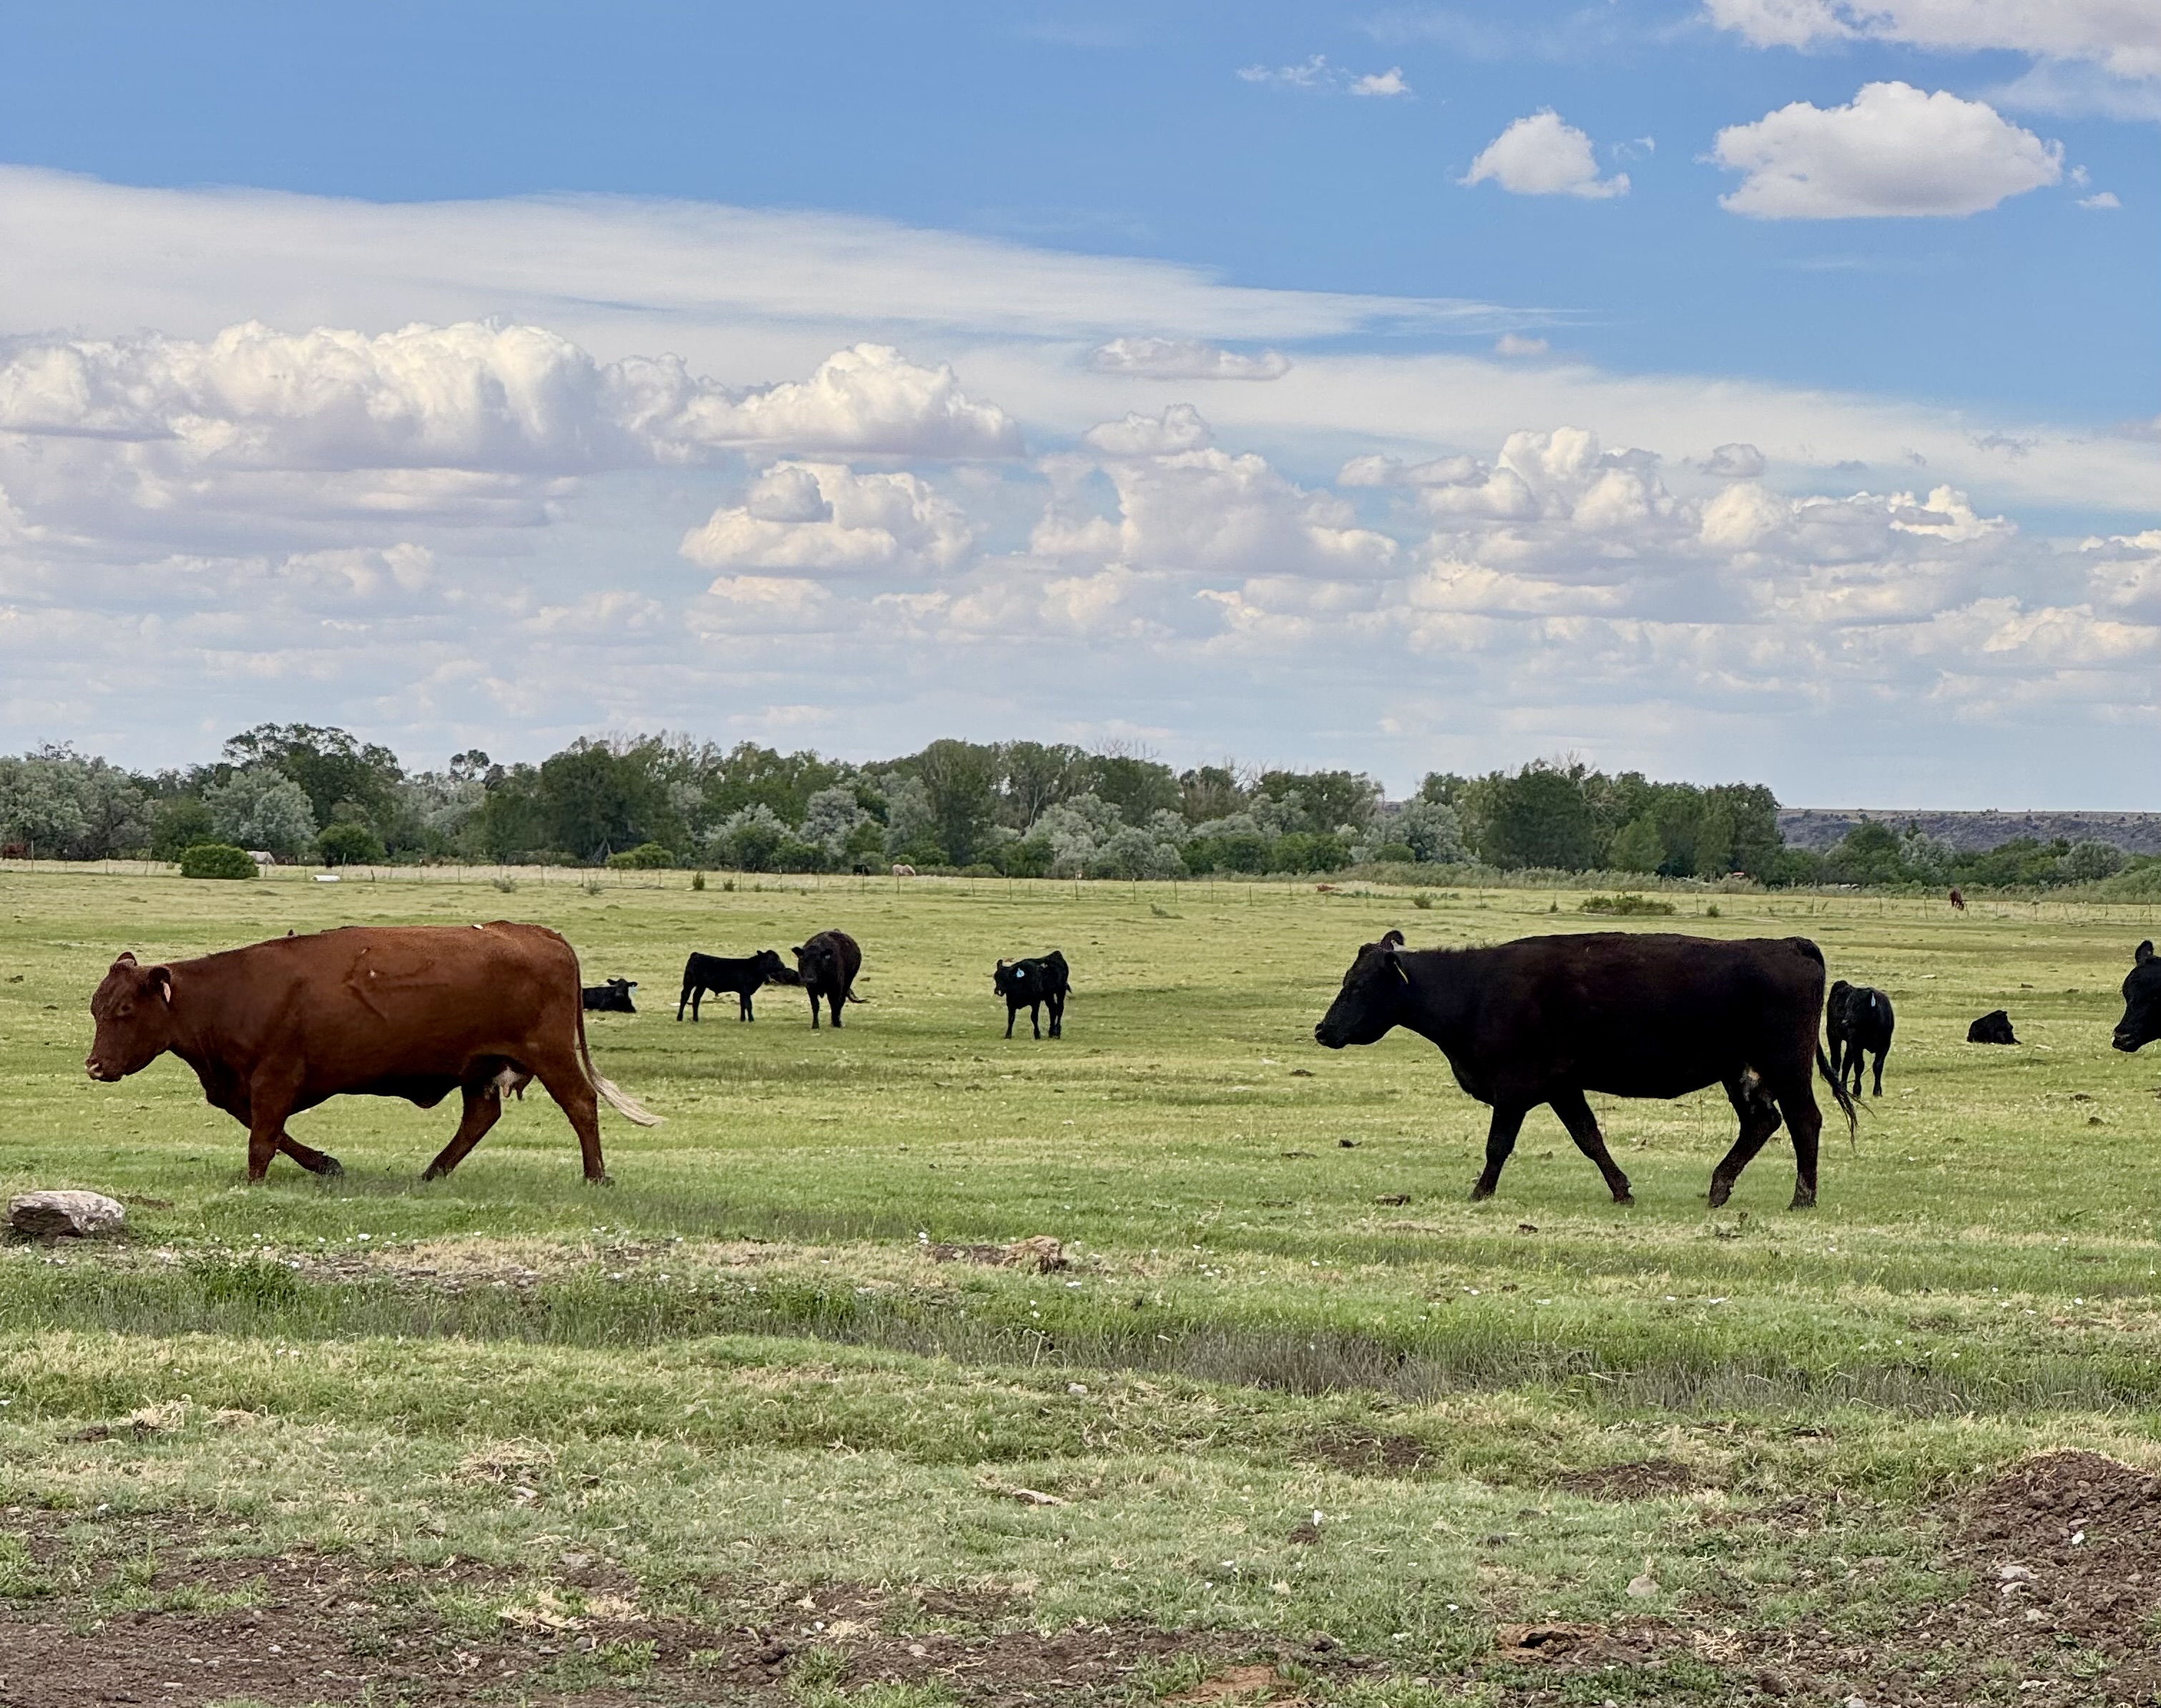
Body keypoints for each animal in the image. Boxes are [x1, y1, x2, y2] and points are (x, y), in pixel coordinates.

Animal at [85, 922, 659, 1184]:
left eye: (124, 1010)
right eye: (96, 1007)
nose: (94, 1066)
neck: (230, 994)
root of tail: (537, 933)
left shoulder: (275, 1076)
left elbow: (262, 1137)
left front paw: (254, 1182)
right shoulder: (243, 1086)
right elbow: (267, 1130)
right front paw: (324, 1164)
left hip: (550, 1054)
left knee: (581, 1105)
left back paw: (596, 1175)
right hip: (478, 1066)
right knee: (480, 1118)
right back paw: (434, 1172)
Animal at [677, 949, 792, 1022]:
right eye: (773, 959)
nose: (783, 966)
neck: (755, 969)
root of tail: (696, 954)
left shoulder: (742, 992)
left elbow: (743, 1005)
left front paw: (743, 1019)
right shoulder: (746, 990)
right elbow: (748, 1005)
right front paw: (751, 1020)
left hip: (701, 986)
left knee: (696, 998)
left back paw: (696, 1019)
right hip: (689, 982)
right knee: (685, 997)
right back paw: (679, 1018)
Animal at [791, 929, 863, 1028]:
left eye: (819, 961)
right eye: (803, 960)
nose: (810, 980)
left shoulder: (836, 988)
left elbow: (835, 1003)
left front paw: (837, 1022)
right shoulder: (811, 989)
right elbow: (815, 1005)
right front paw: (815, 1025)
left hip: (848, 981)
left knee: (840, 1001)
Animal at [1313, 930, 1855, 1210]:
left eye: (1358, 985)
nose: (1322, 1030)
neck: (1473, 990)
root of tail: (1785, 943)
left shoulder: (1514, 1089)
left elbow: (1498, 1146)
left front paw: (1480, 1192)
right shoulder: (1562, 1087)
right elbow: (1588, 1137)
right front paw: (1621, 1190)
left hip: (1785, 1067)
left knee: (1804, 1122)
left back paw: (1802, 1198)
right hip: (1740, 1072)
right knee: (1762, 1122)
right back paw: (1720, 1187)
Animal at [1826, 980, 1894, 1097]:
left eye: (1858, 1006)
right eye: (1847, 1006)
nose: (1844, 1022)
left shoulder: (1885, 1044)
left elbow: (1878, 1066)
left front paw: (1877, 1092)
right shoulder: (1857, 1044)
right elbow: (1859, 1066)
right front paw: (1857, 1091)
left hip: (1849, 1043)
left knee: (1846, 1063)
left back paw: (1844, 1088)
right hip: (1833, 1034)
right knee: (1836, 1061)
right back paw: (1837, 1091)